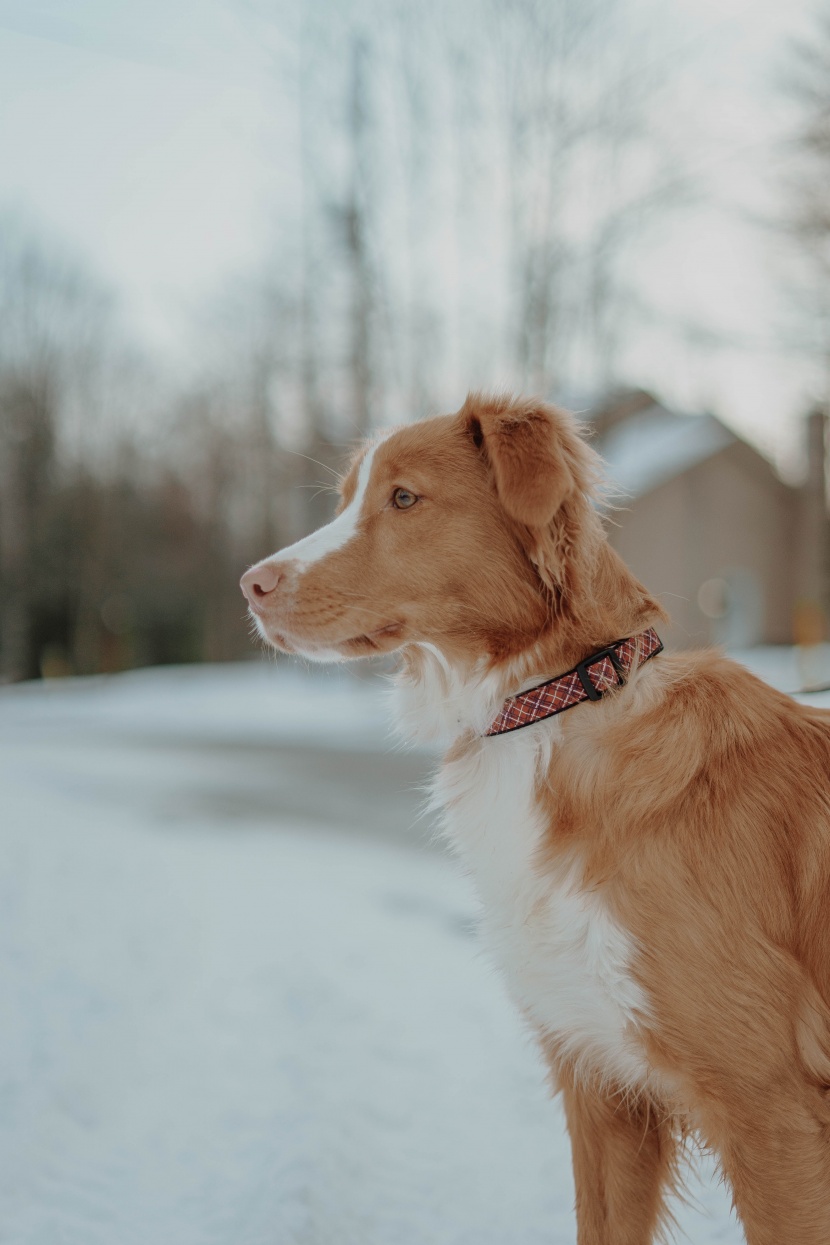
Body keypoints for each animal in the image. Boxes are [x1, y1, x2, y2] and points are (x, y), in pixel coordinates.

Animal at [238, 395, 830, 1245]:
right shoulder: (601, 1082)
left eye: (404, 497)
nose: (250, 584)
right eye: (346, 497)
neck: (555, 700)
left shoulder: (770, 1104)